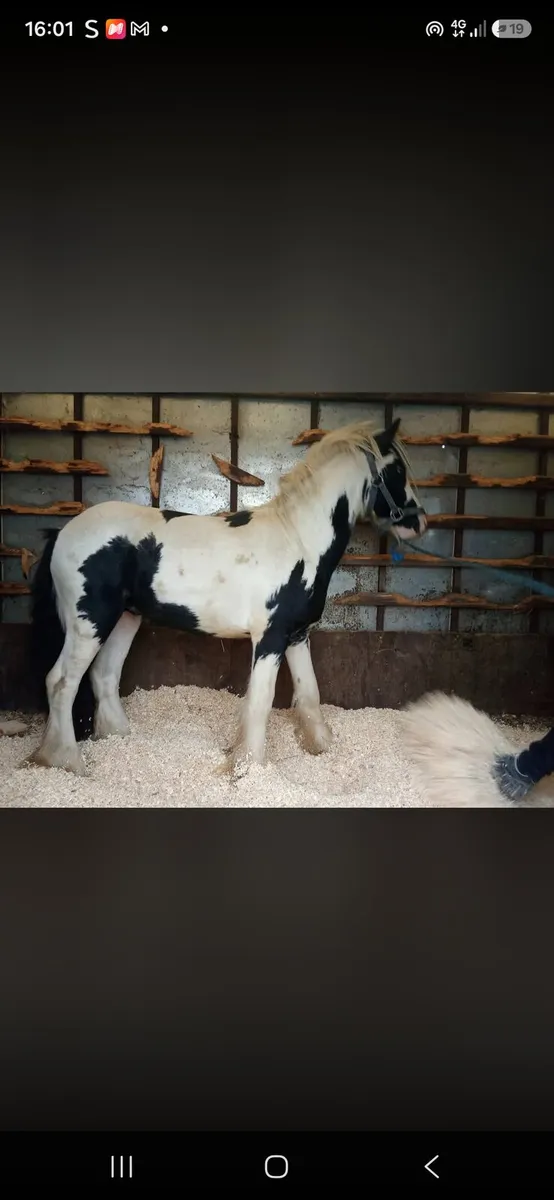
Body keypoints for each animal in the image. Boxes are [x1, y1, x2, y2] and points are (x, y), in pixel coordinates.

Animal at [27, 416, 427, 779]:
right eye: (396, 469)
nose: (419, 522)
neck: (298, 540)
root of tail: (63, 532)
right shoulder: (269, 638)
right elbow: (260, 704)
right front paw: (248, 766)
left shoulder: (297, 635)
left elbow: (310, 694)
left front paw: (321, 746)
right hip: (90, 621)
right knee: (61, 682)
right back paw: (66, 762)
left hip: (126, 617)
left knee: (104, 675)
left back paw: (119, 739)